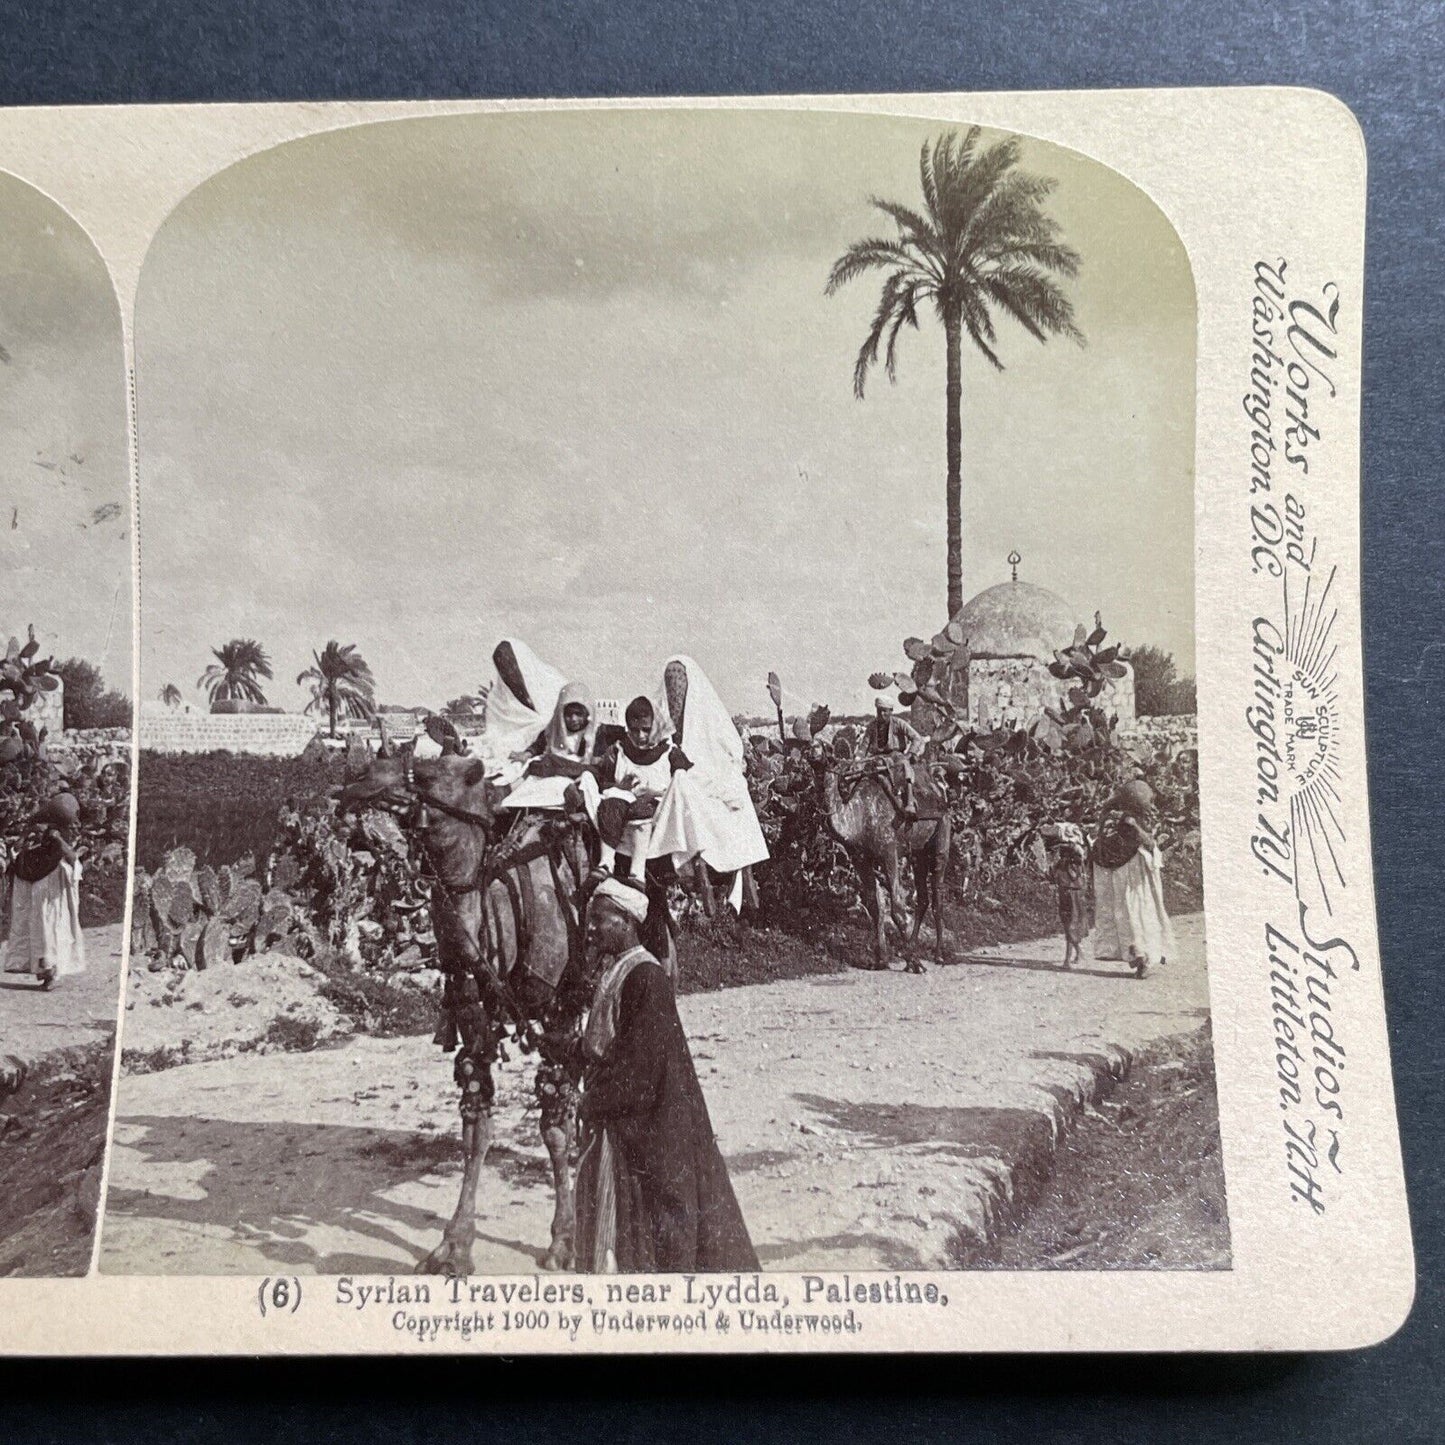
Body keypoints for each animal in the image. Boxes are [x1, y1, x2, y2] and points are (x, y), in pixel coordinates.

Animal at [338, 745, 670, 1277]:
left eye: (430, 774)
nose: (357, 780)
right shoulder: (476, 1019)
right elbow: (477, 1126)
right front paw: (454, 1246)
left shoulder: (560, 1012)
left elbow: (554, 1123)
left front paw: (563, 1241)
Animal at [820, 757, 953, 971]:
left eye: (825, 752)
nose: (813, 754)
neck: (858, 817)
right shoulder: (860, 858)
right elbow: (874, 905)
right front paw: (881, 960)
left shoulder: (889, 851)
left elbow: (897, 907)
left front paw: (916, 962)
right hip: (918, 853)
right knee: (923, 898)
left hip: (942, 833)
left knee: (937, 896)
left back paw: (939, 955)